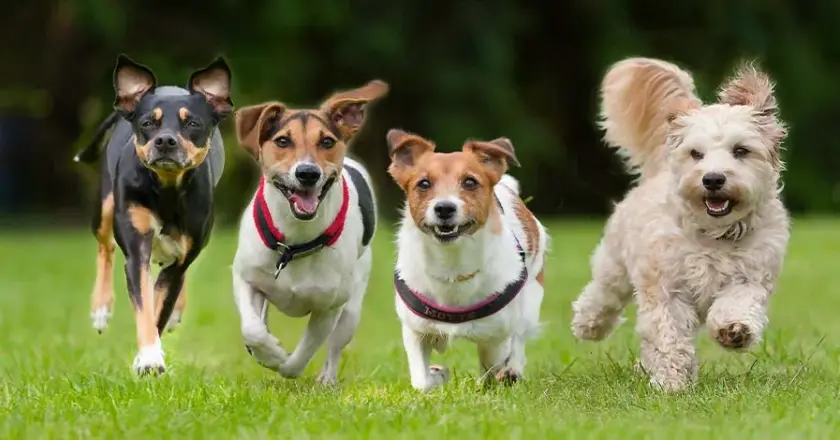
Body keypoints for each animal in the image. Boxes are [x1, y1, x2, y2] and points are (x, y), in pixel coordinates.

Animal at [74, 53, 233, 372]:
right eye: (148, 123)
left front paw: (147, 355)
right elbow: (145, 307)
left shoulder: (181, 257)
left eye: (192, 123)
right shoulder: (137, 251)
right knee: (105, 247)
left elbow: (161, 308)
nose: (165, 140)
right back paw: (101, 308)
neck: (166, 190)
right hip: (105, 207)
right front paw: (148, 357)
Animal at [230, 81, 388, 384]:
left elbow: (301, 356)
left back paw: (327, 380)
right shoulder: (246, 278)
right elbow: (252, 329)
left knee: (336, 344)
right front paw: (269, 350)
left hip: (351, 306)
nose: (307, 173)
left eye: (326, 142)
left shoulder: (328, 307)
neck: (294, 244)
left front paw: (282, 360)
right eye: (283, 141)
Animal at [386, 130, 548, 392]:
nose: (444, 208)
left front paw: (497, 375)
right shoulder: (414, 330)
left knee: (519, 339)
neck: (452, 263)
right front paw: (437, 375)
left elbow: (494, 362)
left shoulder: (496, 335)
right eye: (424, 183)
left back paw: (512, 369)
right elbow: (421, 381)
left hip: (531, 297)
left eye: (470, 182)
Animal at [568, 57, 792, 392]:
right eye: (696, 153)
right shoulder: (665, 287)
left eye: (741, 150)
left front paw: (734, 330)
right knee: (604, 293)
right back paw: (589, 323)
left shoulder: (751, 276)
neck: (714, 236)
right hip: (615, 263)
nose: (713, 178)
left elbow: (738, 303)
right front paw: (670, 383)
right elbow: (668, 335)